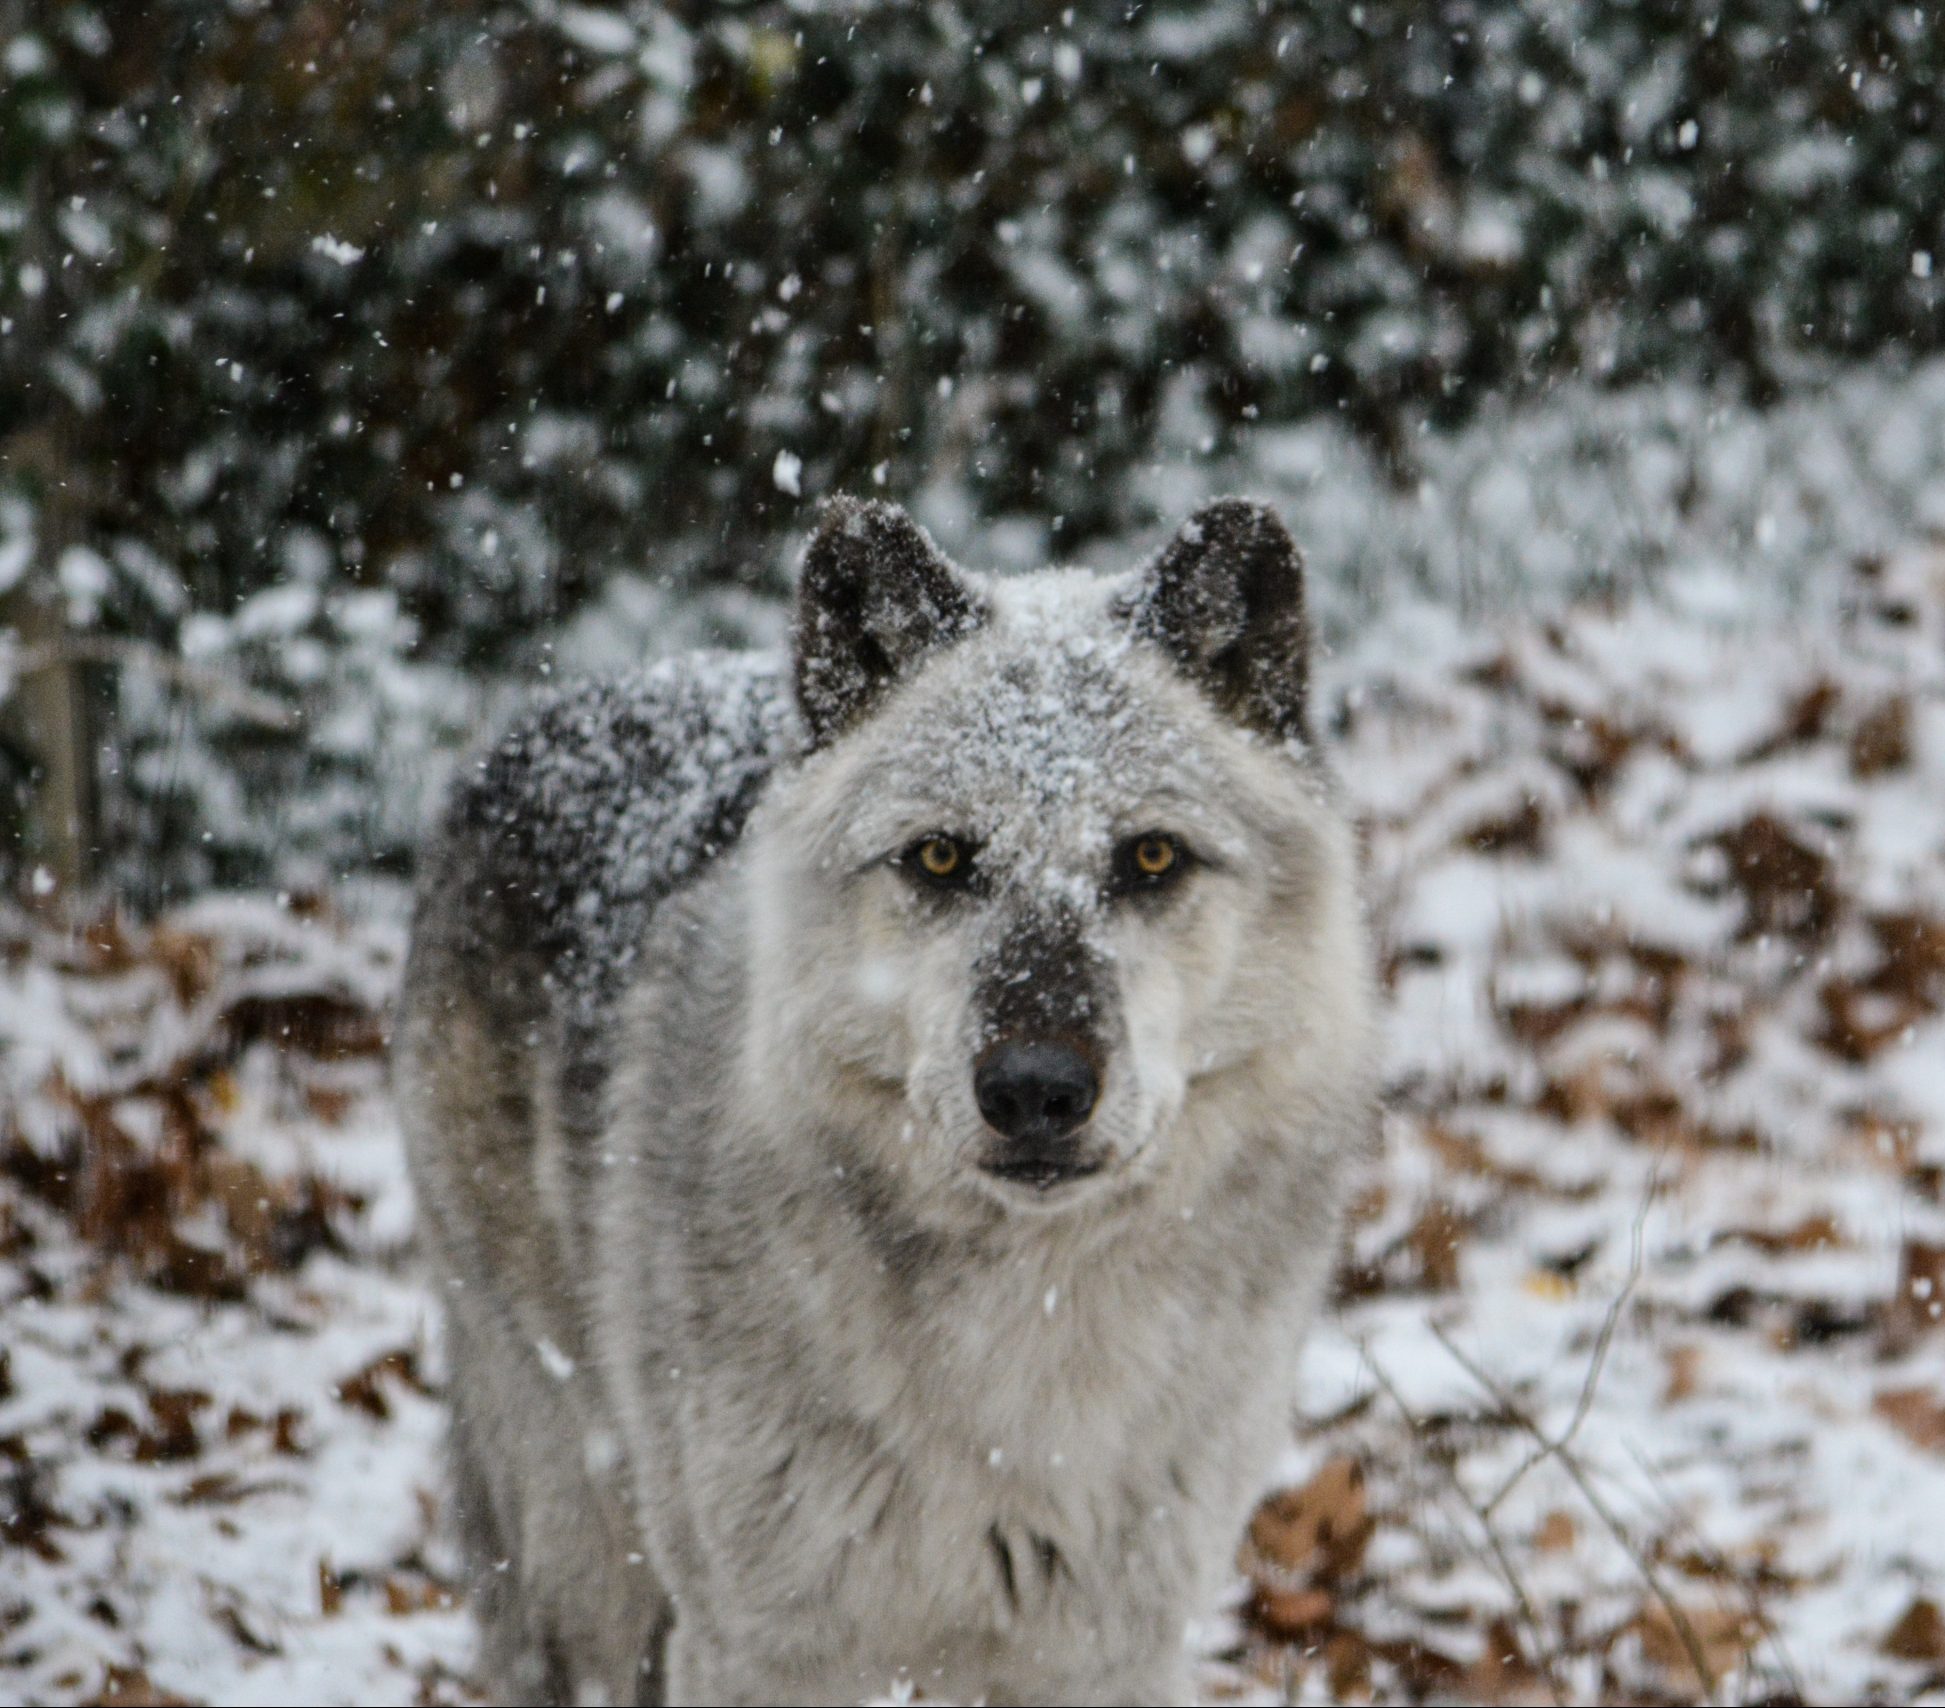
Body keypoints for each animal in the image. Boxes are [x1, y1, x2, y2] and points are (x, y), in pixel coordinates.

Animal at [397, 496, 1379, 1705]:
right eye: (942, 857)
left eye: (1151, 856)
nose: (1035, 1090)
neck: (1028, 1356)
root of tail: (538, 718)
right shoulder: (759, 1652)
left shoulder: (1104, 1657)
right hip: (585, 1543)